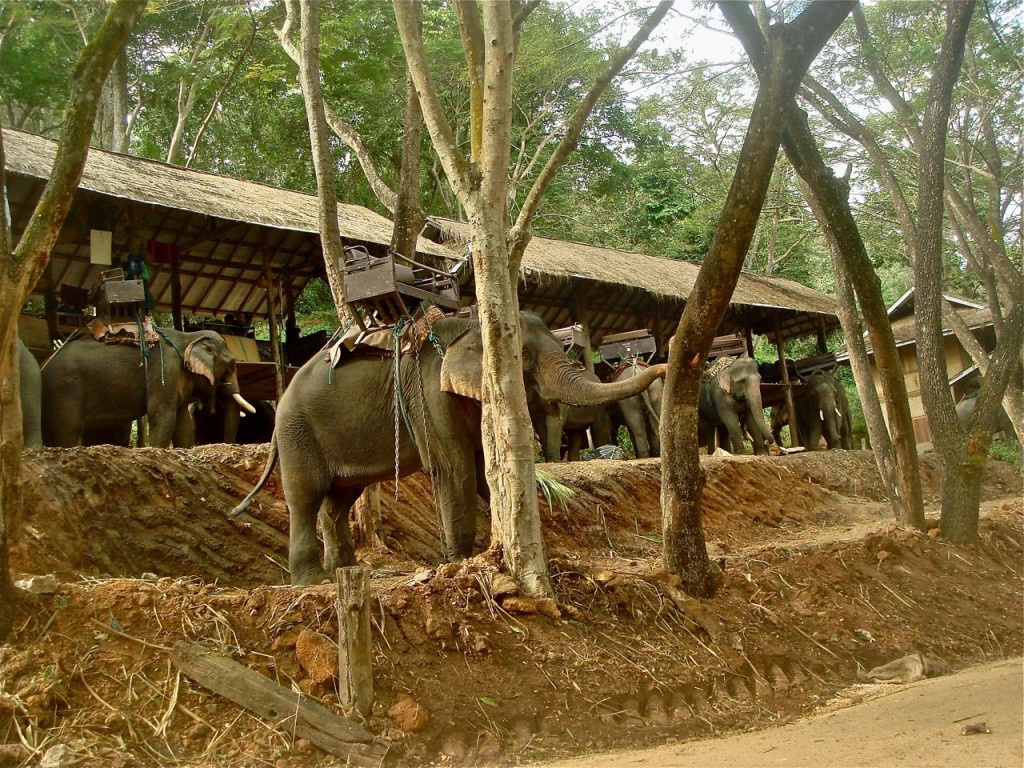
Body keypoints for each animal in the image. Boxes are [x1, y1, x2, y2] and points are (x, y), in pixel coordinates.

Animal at [43, 327, 254, 448]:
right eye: (232, 365)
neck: (187, 337)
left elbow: (182, 421)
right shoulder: (165, 371)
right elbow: (162, 415)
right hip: (65, 390)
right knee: (67, 428)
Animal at [228, 309, 667, 585]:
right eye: (522, 355)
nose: (659, 363)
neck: (473, 326)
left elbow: (484, 470)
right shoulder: (429, 393)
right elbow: (454, 468)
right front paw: (459, 562)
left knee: (338, 499)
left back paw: (348, 572)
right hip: (297, 431)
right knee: (305, 496)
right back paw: (312, 580)